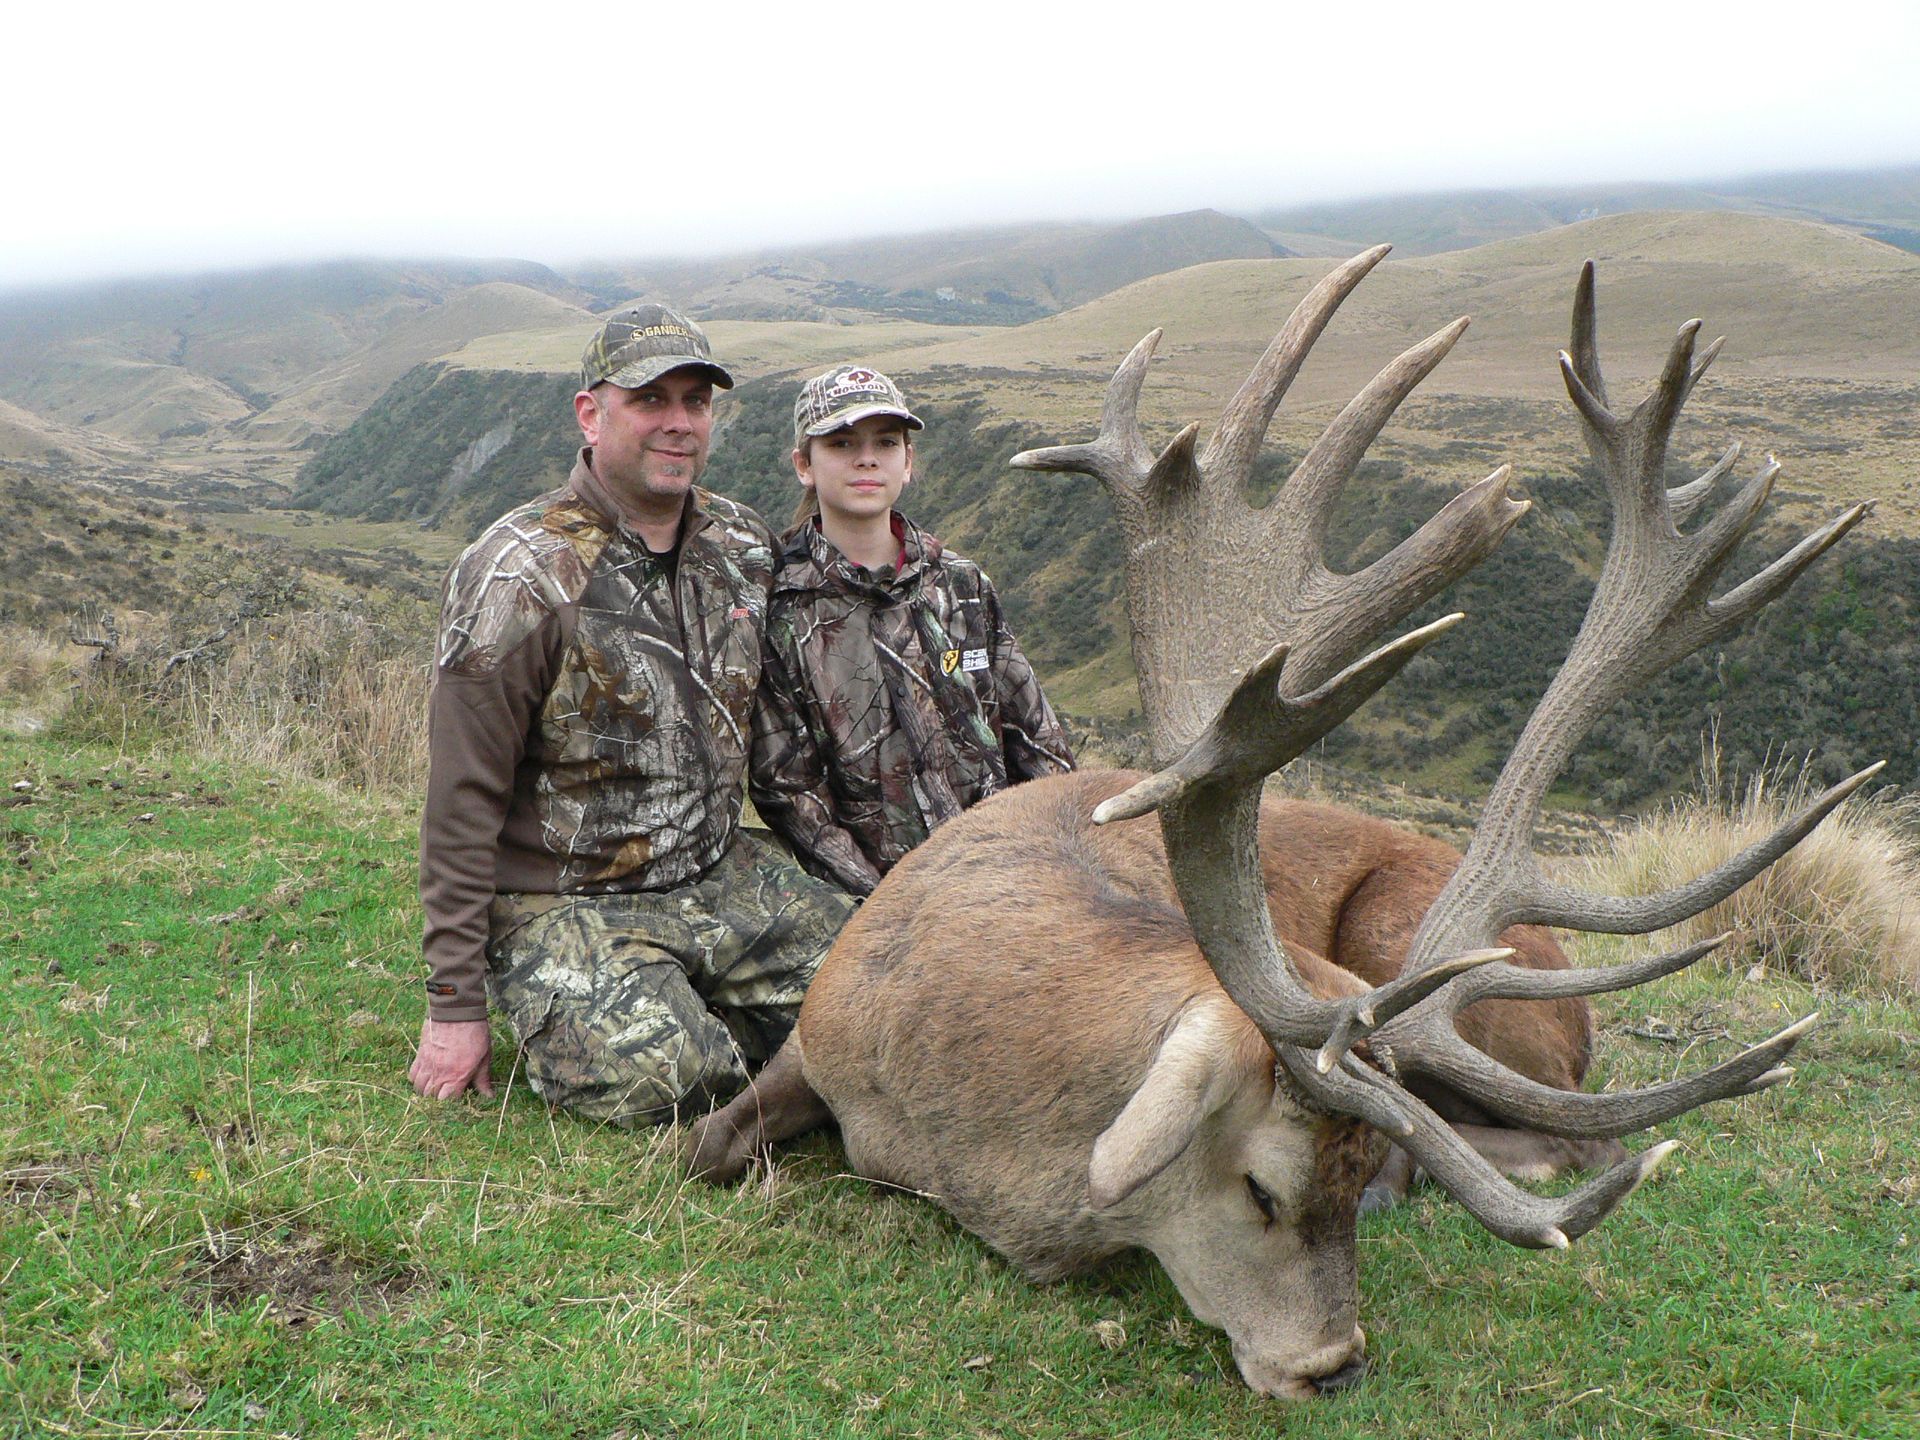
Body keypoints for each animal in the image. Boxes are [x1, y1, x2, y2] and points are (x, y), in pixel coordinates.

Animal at [688, 249, 1876, 1399]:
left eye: (1344, 1189)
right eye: (1261, 1188)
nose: (1334, 1366)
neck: (945, 1114)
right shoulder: (810, 1041)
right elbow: (700, 1146)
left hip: (1415, 955)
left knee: (1558, 1131)